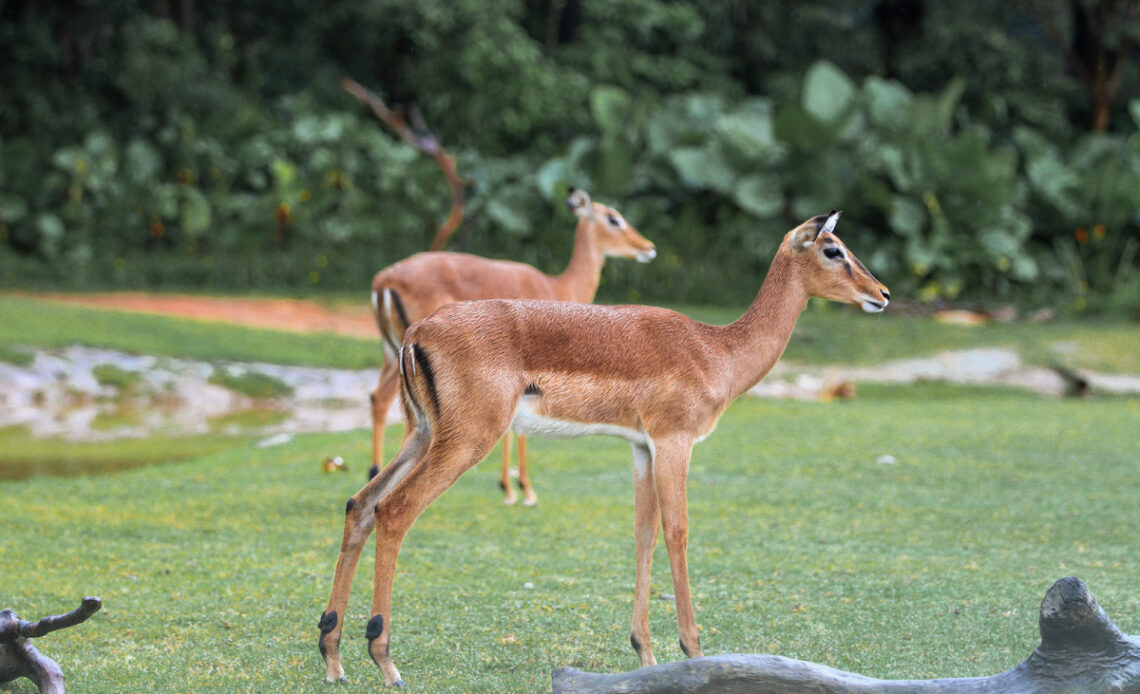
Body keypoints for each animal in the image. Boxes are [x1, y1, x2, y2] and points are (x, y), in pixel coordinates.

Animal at [364, 189, 652, 503]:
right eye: (613, 219)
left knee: (378, 399)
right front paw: (521, 488)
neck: (558, 287)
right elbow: (519, 429)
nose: (648, 248)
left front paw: (510, 485)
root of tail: (384, 279)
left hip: (391, 354)